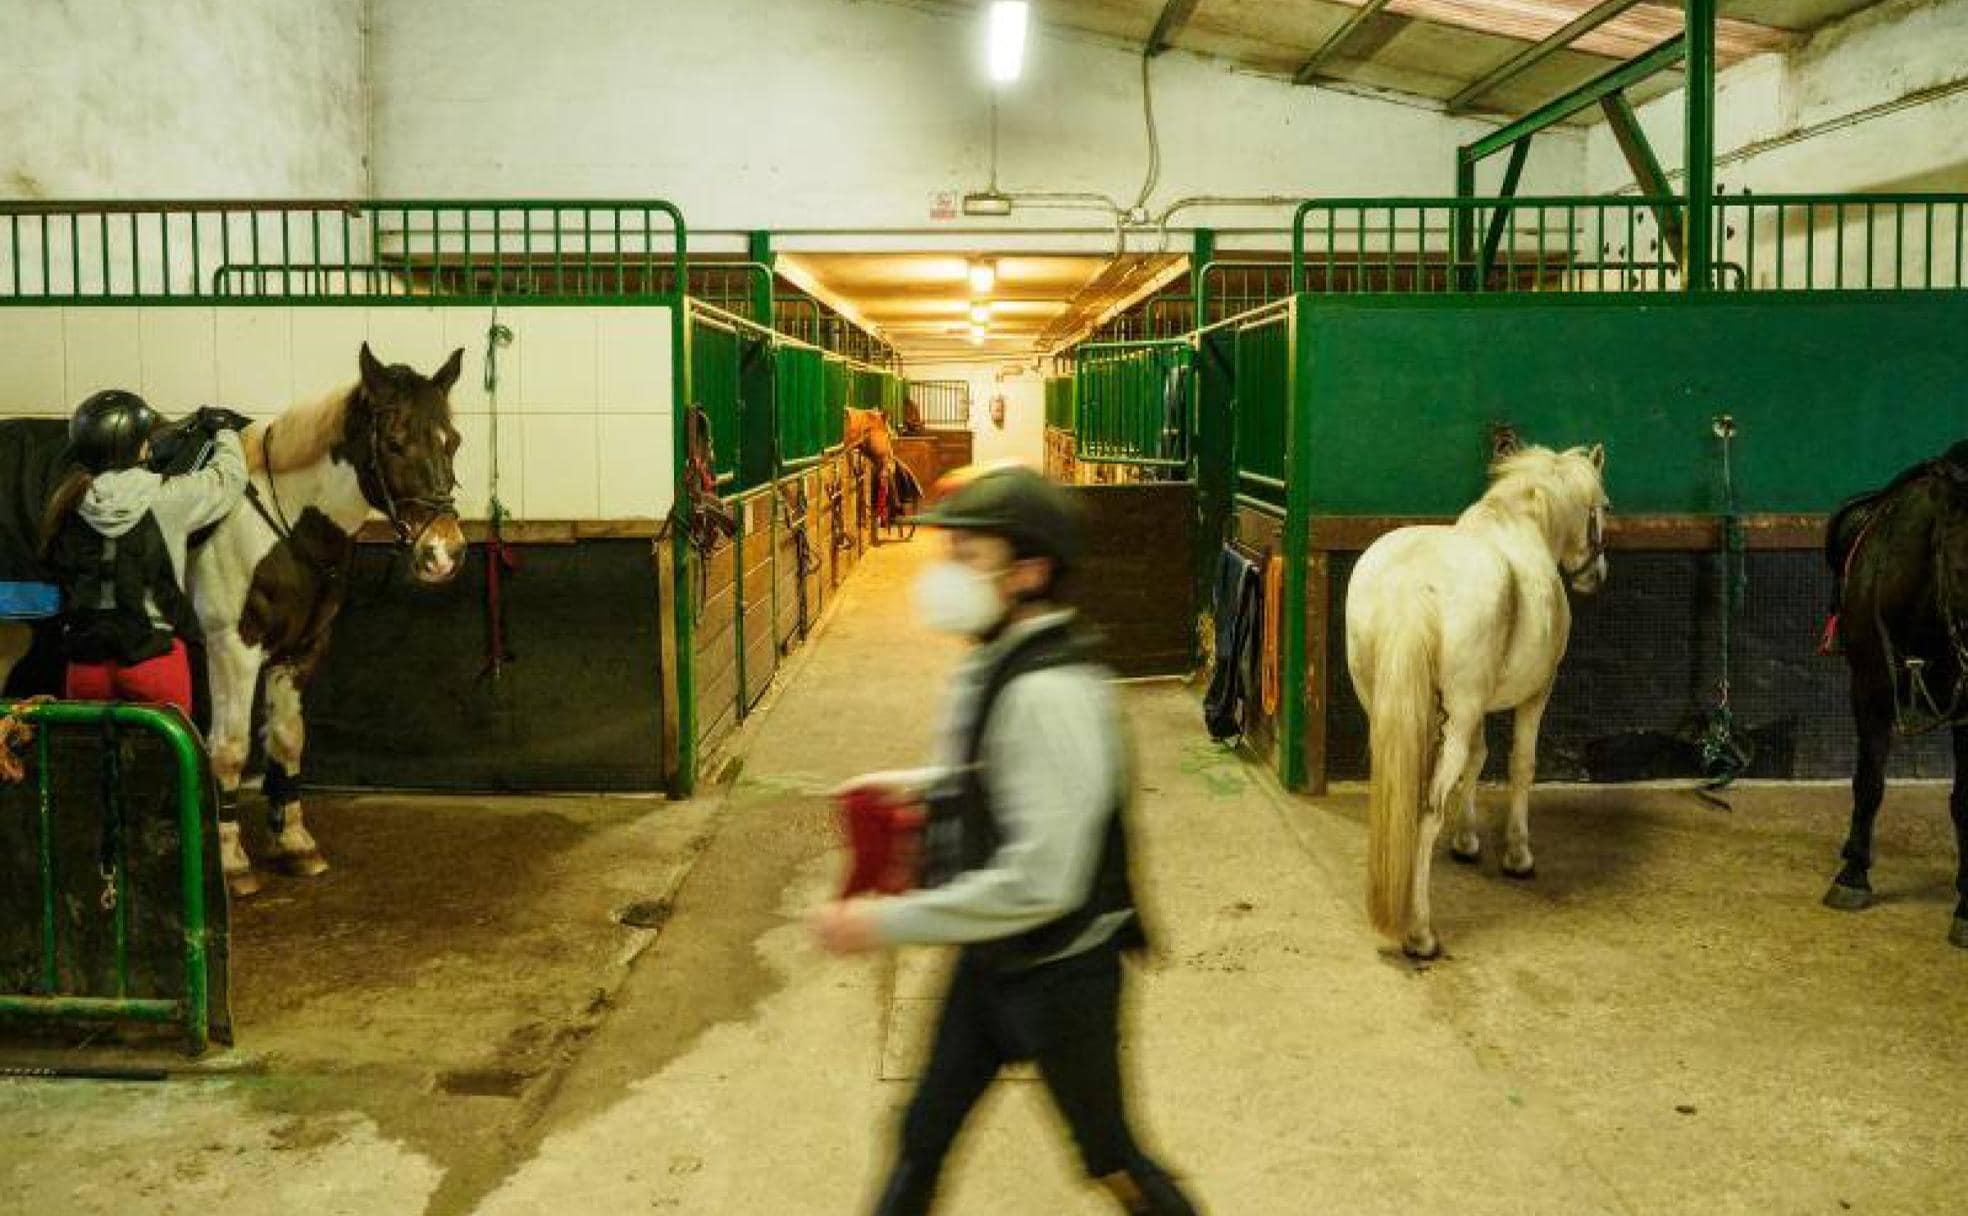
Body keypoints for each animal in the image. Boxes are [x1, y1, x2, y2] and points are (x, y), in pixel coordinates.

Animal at [1346, 440, 1605, 952]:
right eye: (1602, 507)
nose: (1596, 575)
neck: (1522, 524)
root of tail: (1412, 586)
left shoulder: (1476, 707)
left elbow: (1478, 759)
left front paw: (1467, 841)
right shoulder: (1537, 692)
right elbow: (1520, 763)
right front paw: (1518, 854)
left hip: (1390, 708)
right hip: (1459, 716)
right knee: (1427, 811)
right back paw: (1421, 933)